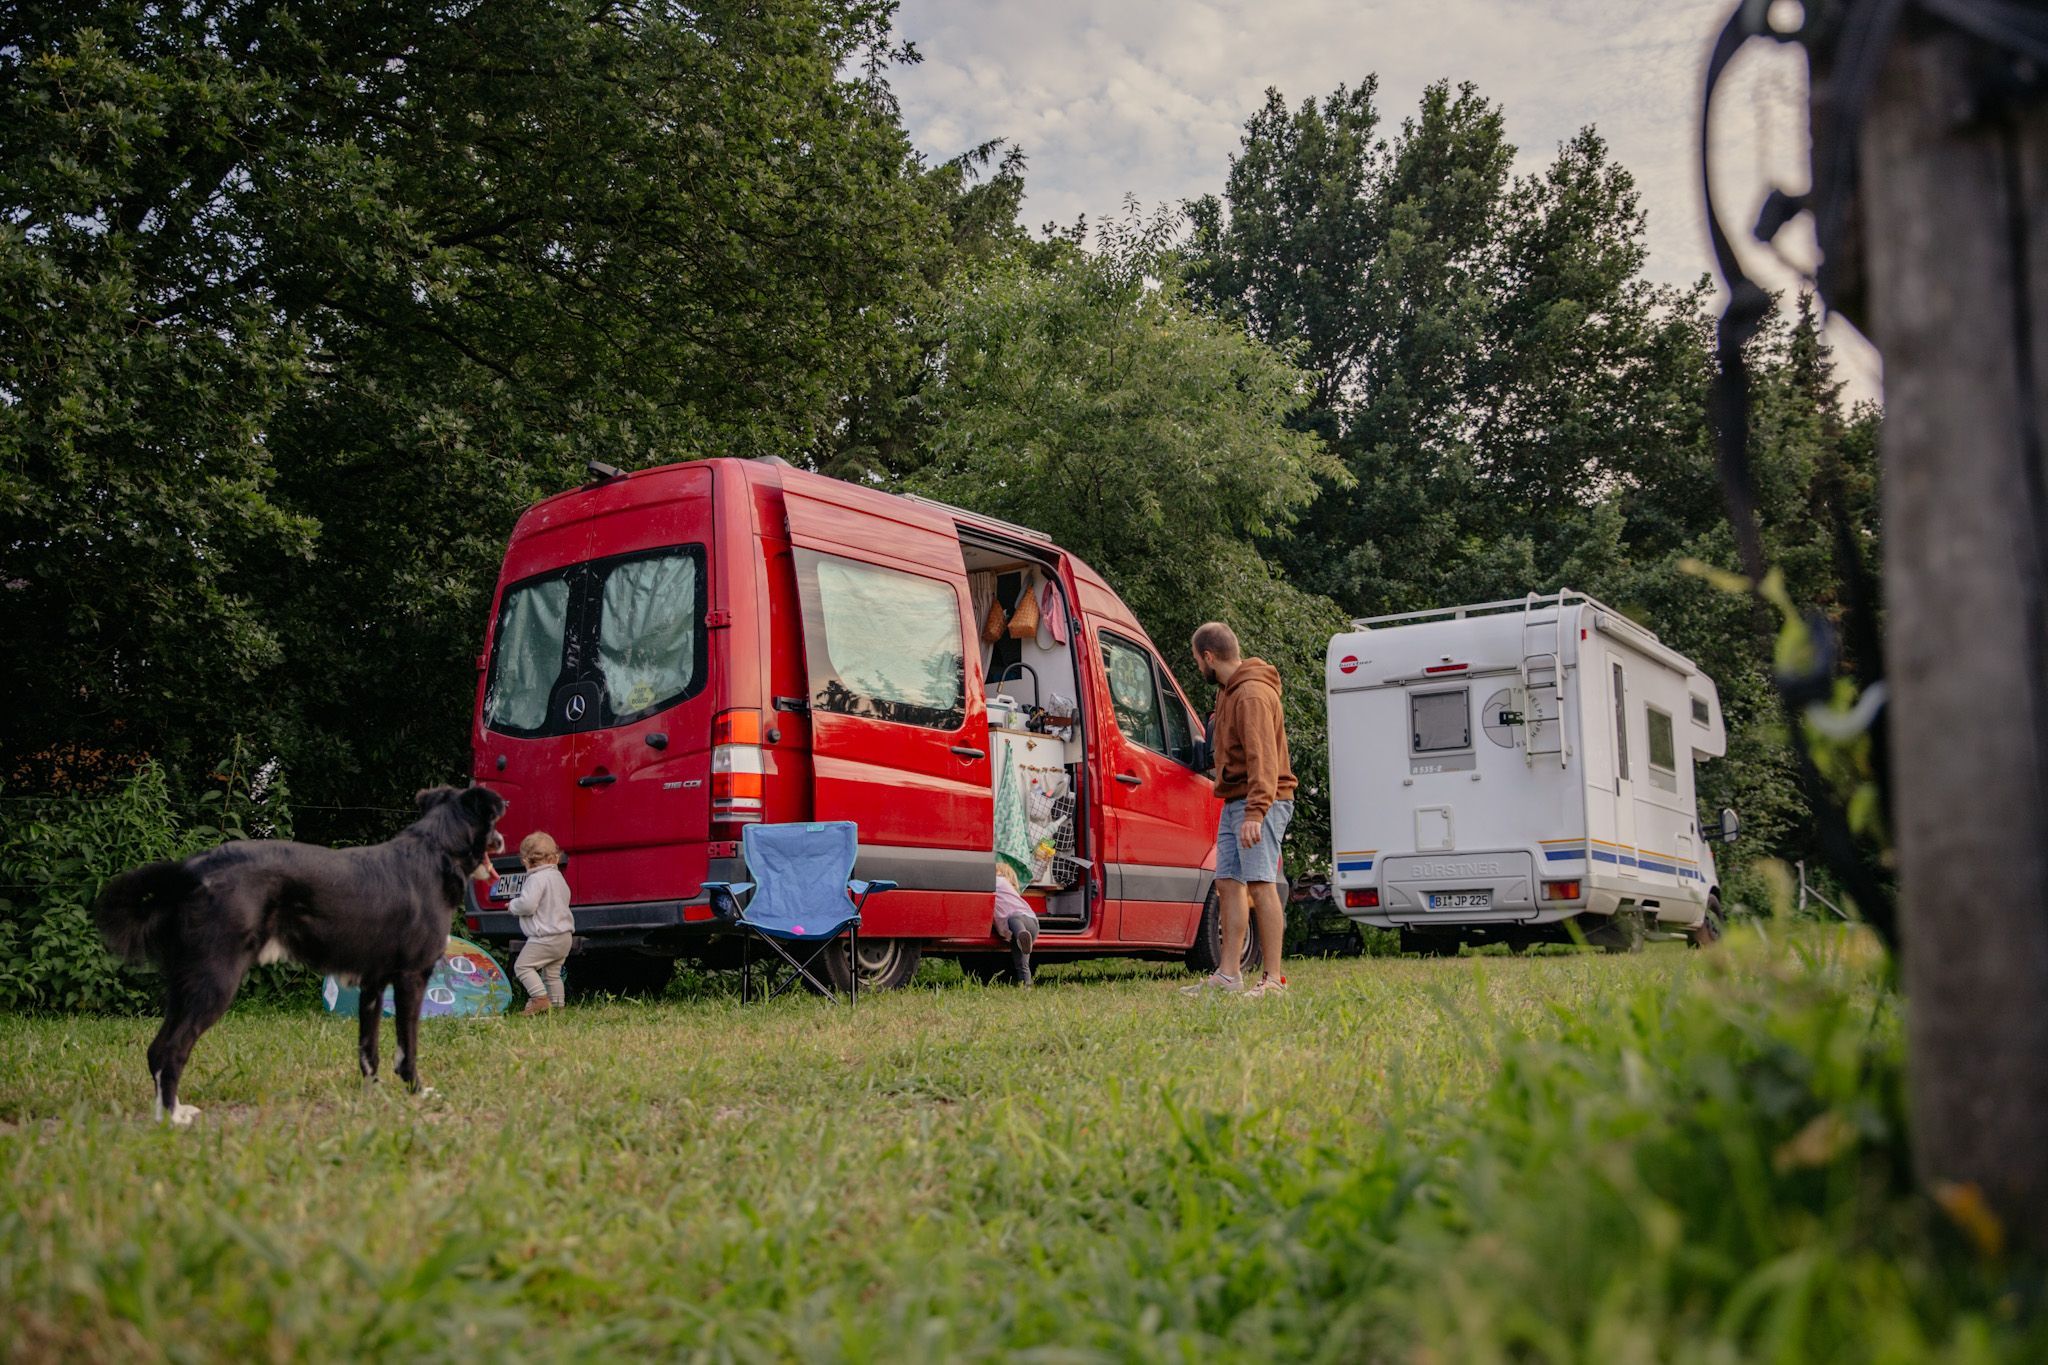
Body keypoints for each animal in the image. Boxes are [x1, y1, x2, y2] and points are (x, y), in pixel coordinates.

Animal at [93, 785, 512, 1129]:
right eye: (494, 822)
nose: (503, 839)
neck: (436, 849)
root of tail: (193, 869)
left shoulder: (372, 985)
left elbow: (369, 1051)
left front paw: (373, 1097)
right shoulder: (412, 977)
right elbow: (405, 1049)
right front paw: (418, 1092)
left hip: (187, 984)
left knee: (156, 1049)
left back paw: (169, 1110)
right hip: (215, 980)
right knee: (173, 1049)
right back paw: (173, 1117)